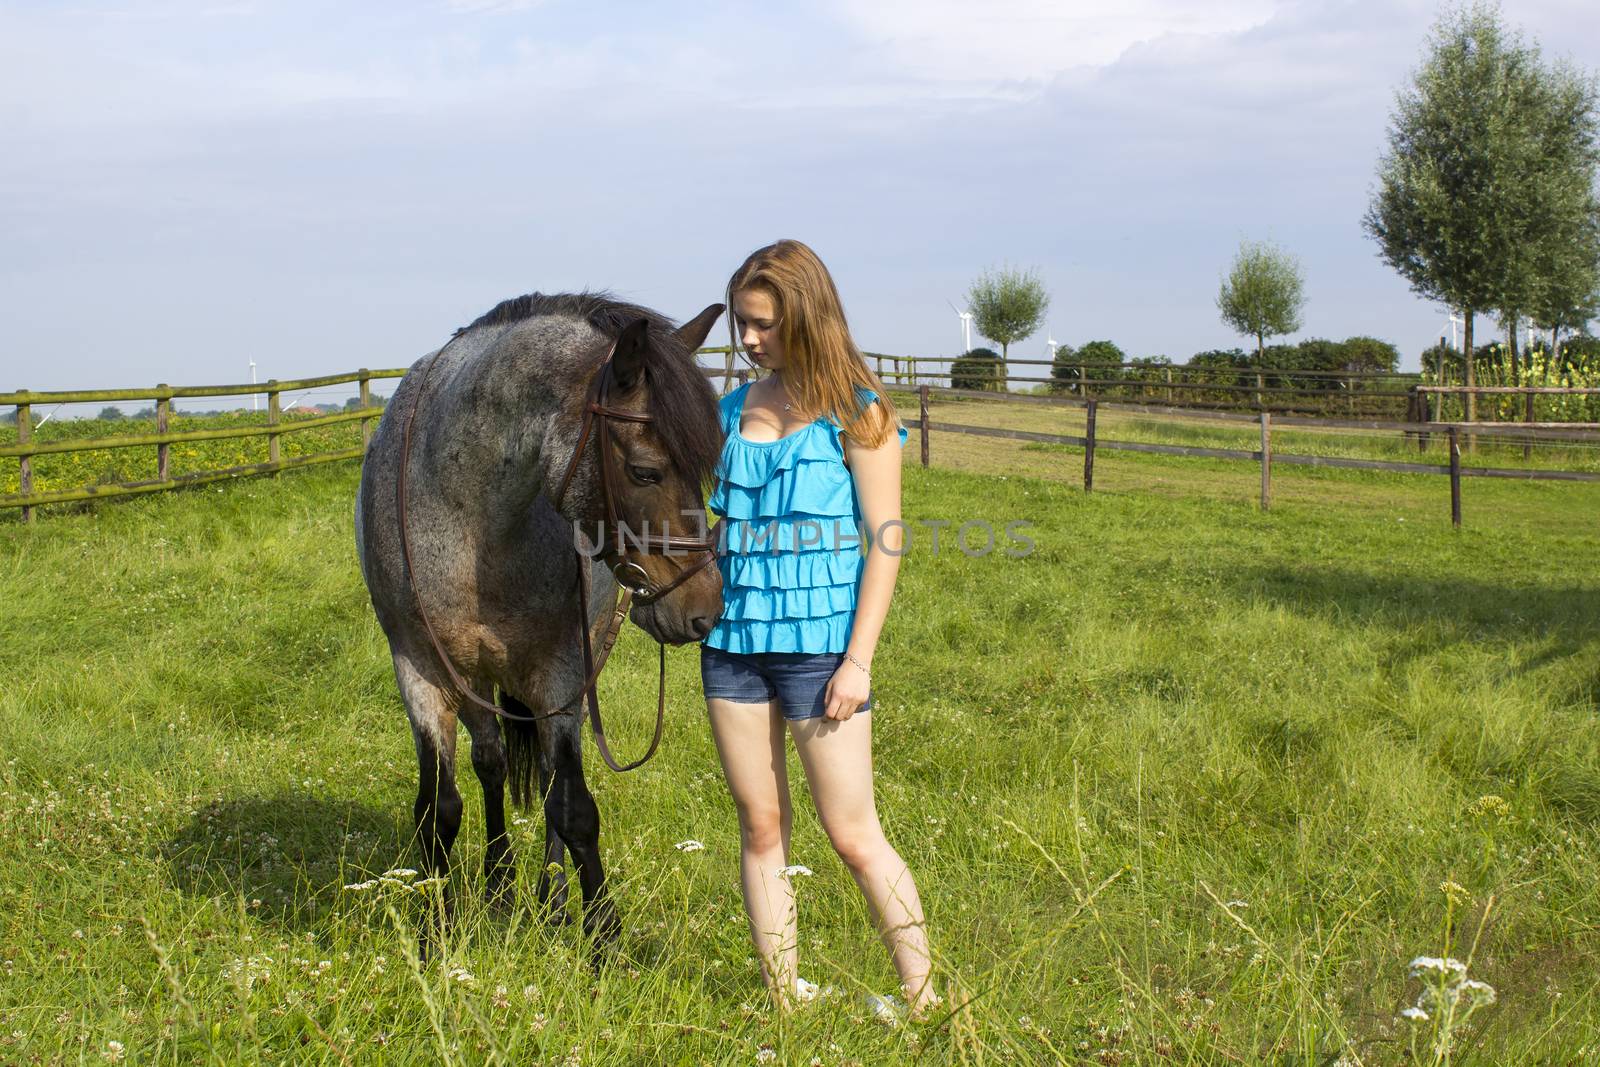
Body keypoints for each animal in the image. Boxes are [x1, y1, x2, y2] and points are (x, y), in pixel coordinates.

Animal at [355, 292, 726, 940]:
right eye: (645, 471)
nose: (703, 609)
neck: (469, 521)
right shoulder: (420, 670)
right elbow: (437, 810)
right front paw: (434, 931)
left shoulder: (559, 672)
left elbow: (574, 808)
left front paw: (602, 938)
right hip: (476, 678)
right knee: (491, 762)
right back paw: (500, 884)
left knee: (553, 776)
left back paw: (549, 899)